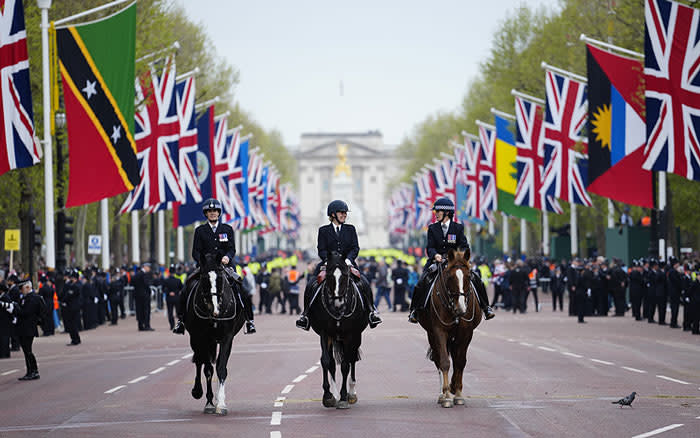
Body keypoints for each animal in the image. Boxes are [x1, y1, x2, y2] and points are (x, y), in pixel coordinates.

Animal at [185, 253, 245, 414]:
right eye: (204, 278)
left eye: (220, 279)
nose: (215, 309)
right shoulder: (202, 338)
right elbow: (208, 370)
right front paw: (210, 403)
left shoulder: (227, 338)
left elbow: (221, 368)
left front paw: (221, 403)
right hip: (196, 340)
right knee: (199, 361)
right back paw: (198, 391)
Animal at [308, 252, 370, 408]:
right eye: (329, 275)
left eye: (345, 275)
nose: (338, 302)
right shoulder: (325, 333)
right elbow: (326, 361)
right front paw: (328, 396)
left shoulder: (350, 335)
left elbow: (345, 365)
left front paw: (343, 397)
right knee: (332, 362)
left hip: (356, 336)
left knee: (352, 359)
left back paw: (351, 393)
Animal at [416, 248, 482, 408]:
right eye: (450, 277)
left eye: (468, 276)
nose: (461, 308)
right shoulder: (439, 331)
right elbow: (445, 362)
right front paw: (446, 396)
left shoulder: (466, 333)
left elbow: (460, 362)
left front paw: (457, 393)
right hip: (432, 335)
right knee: (438, 359)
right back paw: (442, 394)